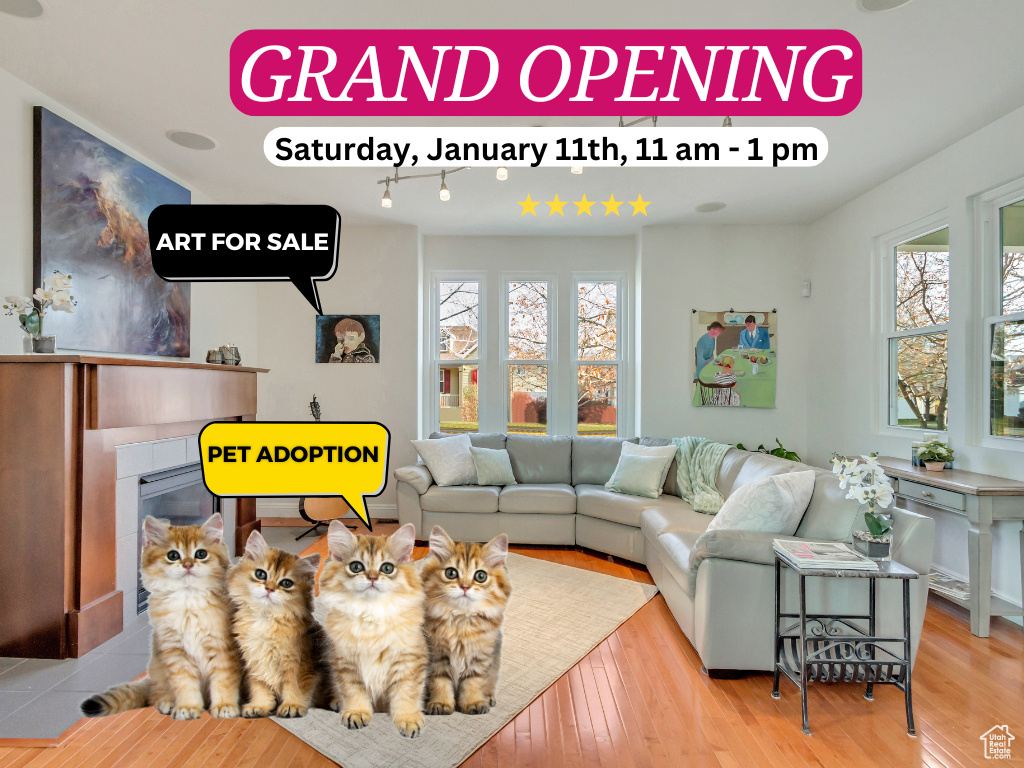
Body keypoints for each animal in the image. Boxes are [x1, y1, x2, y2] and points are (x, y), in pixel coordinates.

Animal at [81, 518, 241, 720]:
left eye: (201, 554)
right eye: (173, 555)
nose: (188, 564)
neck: (188, 599)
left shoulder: (223, 648)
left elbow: (223, 681)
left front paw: (224, 706)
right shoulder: (174, 650)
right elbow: (185, 684)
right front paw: (187, 707)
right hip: (157, 664)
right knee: (156, 693)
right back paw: (168, 702)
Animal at [228, 532, 331, 720]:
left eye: (286, 583)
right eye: (260, 574)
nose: (269, 589)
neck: (266, 619)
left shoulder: (299, 664)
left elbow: (294, 687)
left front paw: (292, 706)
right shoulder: (254, 660)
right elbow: (259, 686)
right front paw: (259, 706)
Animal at [317, 524, 425, 741]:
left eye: (387, 568)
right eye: (356, 567)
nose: (373, 577)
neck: (371, 613)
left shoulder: (409, 661)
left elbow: (406, 694)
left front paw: (408, 719)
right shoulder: (345, 662)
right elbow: (353, 692)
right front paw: (356, 712)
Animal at [421, 528, 509, 720]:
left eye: (480, 576)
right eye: (451, 573)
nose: (465, 587)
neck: (460, 619)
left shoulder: (480, 657)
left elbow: (473, 683)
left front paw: (474, 703)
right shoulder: (436, 657)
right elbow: (440, 683)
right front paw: (440, 704)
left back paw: (488, 698)